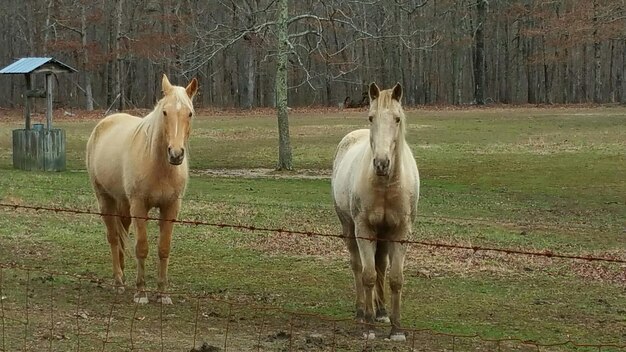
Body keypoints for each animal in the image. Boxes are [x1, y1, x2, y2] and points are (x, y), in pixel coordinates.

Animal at [86, 75, 197, 306]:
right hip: (105, 200)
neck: (159, 166)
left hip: (123, 204)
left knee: (121, 235)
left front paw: (162, 293)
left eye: (189, 113)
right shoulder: (139, 207)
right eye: (165, 112)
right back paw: (119, 282)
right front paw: (141, 292)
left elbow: (163, 249)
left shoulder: (171, 207)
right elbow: (142, 247)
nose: (175, 154)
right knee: (113, 237)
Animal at [330, 82, 416, 340]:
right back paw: (362, 312)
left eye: (397, 119)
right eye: (371, 117)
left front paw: (396, 329)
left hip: (384, 234)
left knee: (380, 266)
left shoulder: (400, 232)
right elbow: (367, 275)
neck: (386, 185)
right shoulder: (364, 229)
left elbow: (395, 278)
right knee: (358, 266)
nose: (381, 163)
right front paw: (368, 327)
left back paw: (381, 311)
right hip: (349, 227)